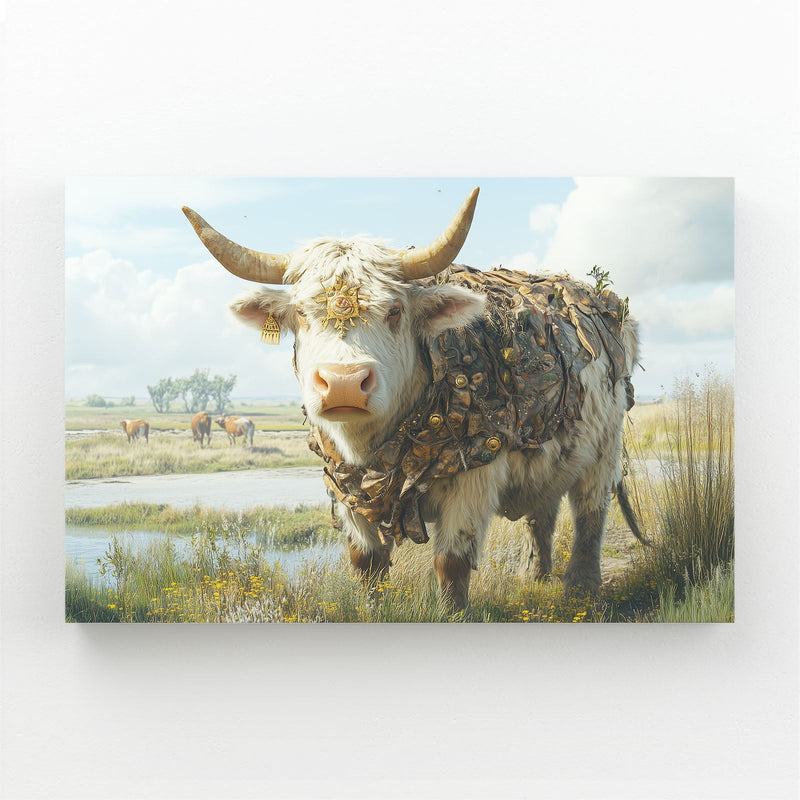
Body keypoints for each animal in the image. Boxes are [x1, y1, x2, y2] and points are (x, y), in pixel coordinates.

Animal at [184, 188, 644, 612]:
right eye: (299, 312)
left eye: (393, 312)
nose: (344, 384)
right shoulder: (347, 491)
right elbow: (366, 563)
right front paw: (371, 610)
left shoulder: (473, 482)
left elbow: (451, 562)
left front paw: (454, 614)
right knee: (541, 513)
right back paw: (534, 576)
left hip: (603, 453)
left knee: (589, 516)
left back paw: (581, 591)